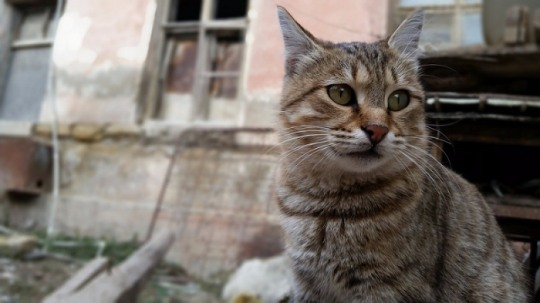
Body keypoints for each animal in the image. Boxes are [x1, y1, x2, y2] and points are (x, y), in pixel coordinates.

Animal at [276, 5, 528, 303]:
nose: (377, 130)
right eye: (340, 93)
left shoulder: (391, 289)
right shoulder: (305, 284)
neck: (327, 208)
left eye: (399, 99)